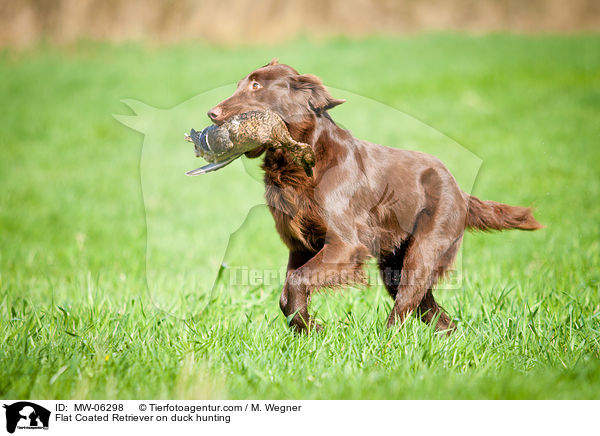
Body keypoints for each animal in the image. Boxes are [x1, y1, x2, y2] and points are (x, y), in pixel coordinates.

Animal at [209, 59, 540, 334]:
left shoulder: (346, 244)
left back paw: (386, 342)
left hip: (424, 251)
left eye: (256, 86)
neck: (301, 162)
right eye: (241, 83)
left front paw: (311, 327)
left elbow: (296, 281)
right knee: (432, 312)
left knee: (406, 305)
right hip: (394, 264)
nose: (212, 114)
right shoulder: (299, 246)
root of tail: (459, 188)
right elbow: (286, 295)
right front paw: (308, 328)